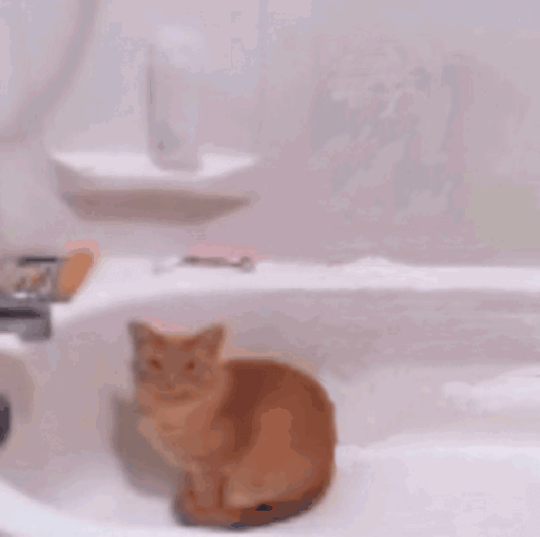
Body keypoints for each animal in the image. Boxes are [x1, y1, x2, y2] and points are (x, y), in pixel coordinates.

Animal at [129, 321, 337, 528]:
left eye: (190, 366)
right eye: (155, 363)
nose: (171, 382)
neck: (173, 416)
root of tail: (328, 470)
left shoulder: (214, 468)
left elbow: (210, 499)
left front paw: (200, 511)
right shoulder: (193, 468)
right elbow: (197, 488)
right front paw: (191, 500)